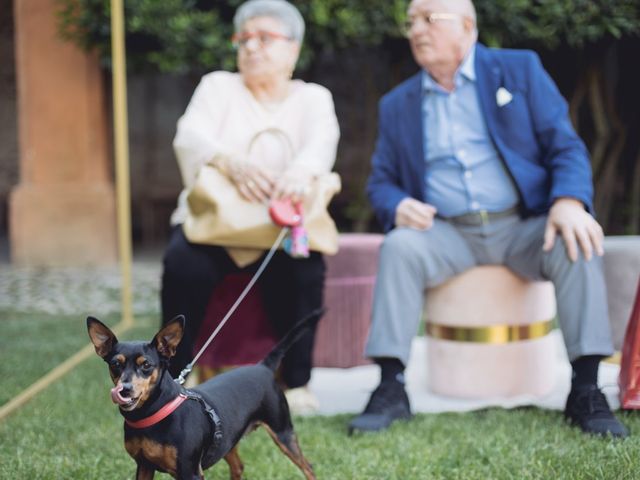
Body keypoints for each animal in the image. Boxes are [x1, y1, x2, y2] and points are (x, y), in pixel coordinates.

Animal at [89, 312, 318, 480]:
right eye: (115, 364)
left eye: (146, 365)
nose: (125, 389)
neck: (153, 412)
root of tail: (264, 366)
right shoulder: (144, 466)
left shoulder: (190, 472)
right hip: (227, 440)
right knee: (238, 467)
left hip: (283, 432)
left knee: (308, 467)